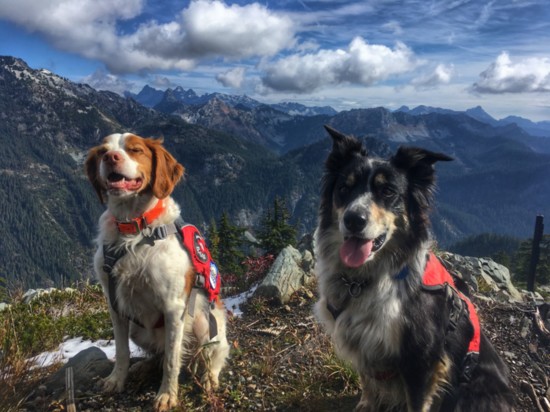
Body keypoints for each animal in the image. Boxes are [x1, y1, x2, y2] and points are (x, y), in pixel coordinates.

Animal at [84, 134, 231, 410]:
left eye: (135, 150)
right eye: (103, 151)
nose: (111, 158)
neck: (133, 228)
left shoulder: (174, 307)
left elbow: (173, 361)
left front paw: (167, 395)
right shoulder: (114, 305)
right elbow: (121, 351)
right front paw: (116, 380)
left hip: (204, 324)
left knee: (211, 357)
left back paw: (209, 379)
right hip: (137, 328)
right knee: (159, 356)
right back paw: (143, 367)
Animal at [314, 125, 516, 412]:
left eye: (387, 192)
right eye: (344, 188)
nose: (353, 220)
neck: (366, 279)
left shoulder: (421, 360)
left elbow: (416, 401)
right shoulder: (364, 346)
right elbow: (367, 382)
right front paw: (367, 403)